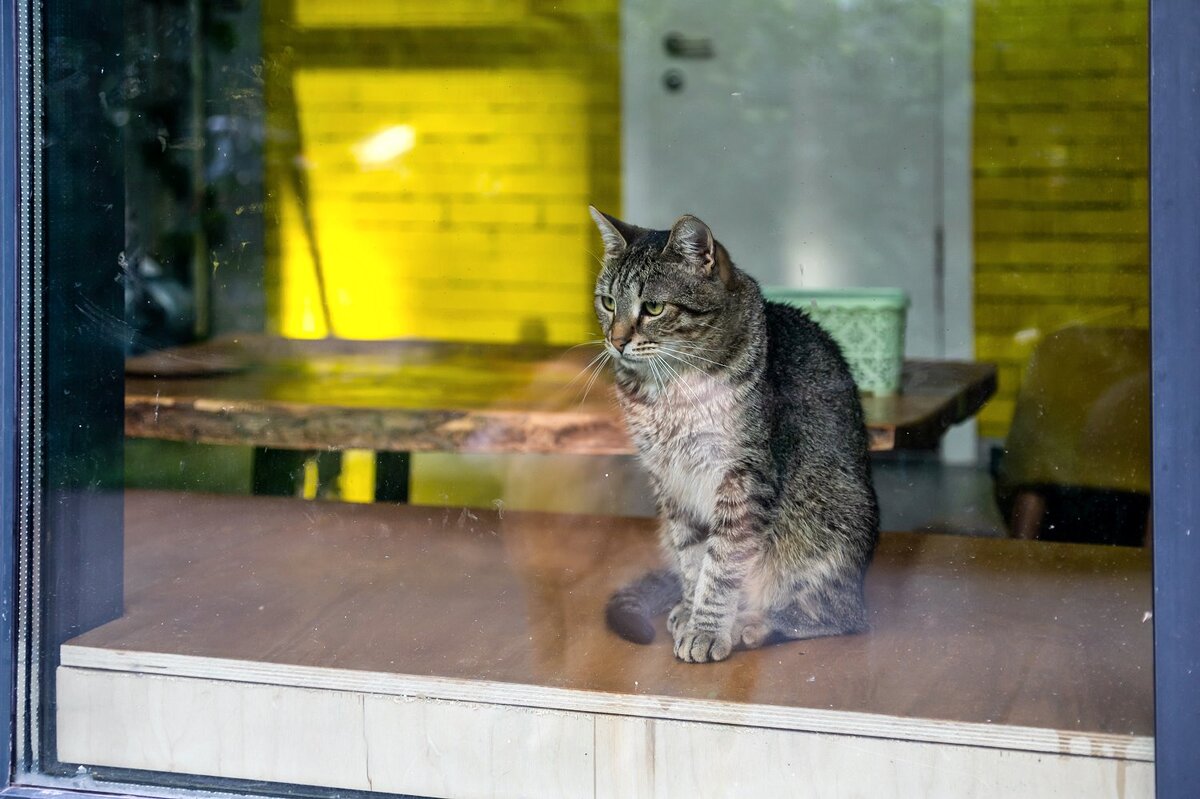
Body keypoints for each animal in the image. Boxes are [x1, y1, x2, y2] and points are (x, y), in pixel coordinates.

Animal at [592, 205, 883, 657]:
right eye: (607, 302)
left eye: (653, 307)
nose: (616, 340)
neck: (667, 393)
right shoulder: (671, 482)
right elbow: (693, 559)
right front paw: (692, 611)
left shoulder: (743, 477)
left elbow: (722, 564)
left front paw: (707, 628)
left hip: (826, 523)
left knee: (839, 616)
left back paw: (757, 623)